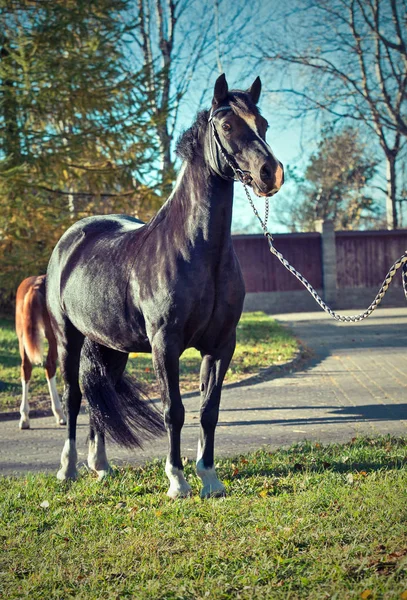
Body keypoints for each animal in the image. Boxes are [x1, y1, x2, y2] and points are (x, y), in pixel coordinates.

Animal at [15, 274, 66, 428]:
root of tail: (36, 285)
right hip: (54, 337)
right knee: (50, 366)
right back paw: (60, 414)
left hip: (22, 338)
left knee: (26, 368)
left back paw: (25, 417)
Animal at [47, 74, 284, 496]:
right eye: (227, 125)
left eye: (264, 124)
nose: (270, 173)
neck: (197, 250)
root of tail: (71, 240)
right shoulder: (165, 343)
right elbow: (173, 410)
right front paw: (177, 480)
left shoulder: (221, 345)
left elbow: (209, 410)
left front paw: (209, 478)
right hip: (67, 338)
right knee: (75, 397)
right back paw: (68, 469)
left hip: (111, 347)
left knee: (100, 396)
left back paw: (101, 465)